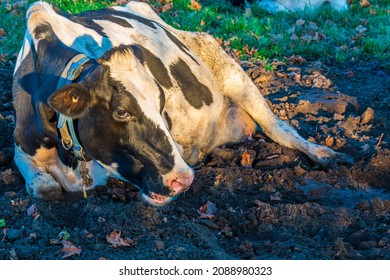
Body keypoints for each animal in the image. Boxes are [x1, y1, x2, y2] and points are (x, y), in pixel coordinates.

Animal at [13, 0, 352, 206]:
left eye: (161, 102)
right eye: (120, 111)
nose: (184, 179)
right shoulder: (22, 147)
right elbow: (43, 188)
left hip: (230, 71)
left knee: (280, 128)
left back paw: (326, 155)